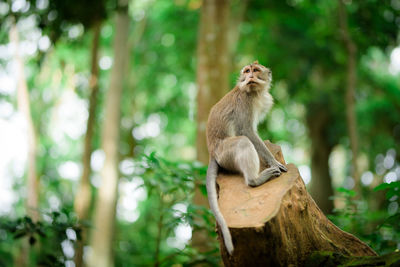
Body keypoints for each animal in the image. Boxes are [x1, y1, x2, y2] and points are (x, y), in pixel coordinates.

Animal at [206, 60, 288, 255]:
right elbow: (246, 131)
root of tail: (212, 152)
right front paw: (273, 161)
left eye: (256, 70)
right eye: (246, 71)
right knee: (243, 141)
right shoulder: (245, 102)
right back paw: (255, 180)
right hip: (226, 153)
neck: (255, 93)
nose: (250, 75)